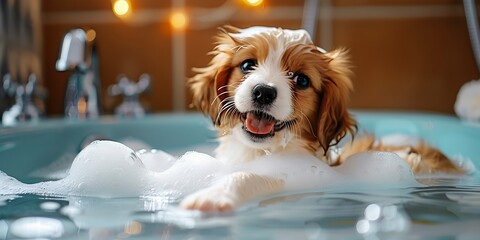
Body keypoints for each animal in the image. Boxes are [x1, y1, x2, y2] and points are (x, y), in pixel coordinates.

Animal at [179, 25, 462, 212]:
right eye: (247, 65)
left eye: (302, 80)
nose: (263, 91)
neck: (261, 153)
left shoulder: (293, 175)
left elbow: (250, 177)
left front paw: (215, 195)